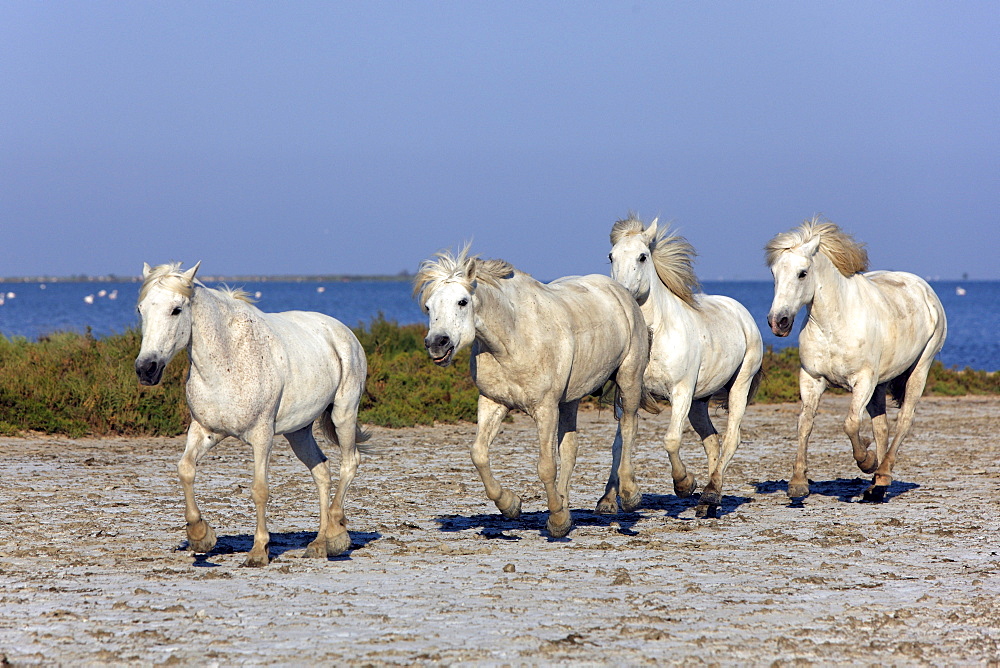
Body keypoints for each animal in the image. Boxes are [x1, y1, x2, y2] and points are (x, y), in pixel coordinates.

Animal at [132, 264, 368, 568]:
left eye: (176, 310)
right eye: (141, 309)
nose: (146, 369)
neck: (228, 360)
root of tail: (343, 331)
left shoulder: (262, 435)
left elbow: (259, 489)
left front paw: (258, 551)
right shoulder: (205, 430)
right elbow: (185, 470)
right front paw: (200, 535)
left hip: (343, 414)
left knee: (349, 463)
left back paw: (337, 535)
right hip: (299, 431)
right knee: (321, 471)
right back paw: (319, 543)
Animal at [410, 245, 660, 536]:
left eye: (462, 302)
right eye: (428, 306)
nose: (436, 343)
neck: (514, 338)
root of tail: (621, 292)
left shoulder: (545, 408)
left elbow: (546, 466)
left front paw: (557, 519)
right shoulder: (493, 402)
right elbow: (479, 454)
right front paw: (511, 505)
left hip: (628, 379)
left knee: (629, 427)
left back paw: (629, 494)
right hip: (570, 399)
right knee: (570, 448)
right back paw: (568, 505)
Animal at [604, 214, 760, 516]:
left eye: (642, 256)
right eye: (611, 256)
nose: (622, 294)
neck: (656, 332)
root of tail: (741, 313)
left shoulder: (681, 392)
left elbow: (671, 439)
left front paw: (684, 484)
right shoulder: (625, 395)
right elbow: (619, 443)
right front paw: (608, 500)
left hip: (739, 386)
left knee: (731, 438)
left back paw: (709, 493)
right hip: (700, 402)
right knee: (712, 440)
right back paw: (710, 500)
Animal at [764, 219, 944, 500]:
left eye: (802, 273)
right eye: (774, 273)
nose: (778, 322)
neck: (834, 324)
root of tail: (924, 288)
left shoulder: (863, 381)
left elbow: (850, 423)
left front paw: (866, 461)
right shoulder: (812, 378)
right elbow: (804, 424)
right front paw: (798, 483)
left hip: (919, 369)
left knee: (904, 420)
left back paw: (881, 472)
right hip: (882, 382)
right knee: (882, 426)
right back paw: (877, 487)